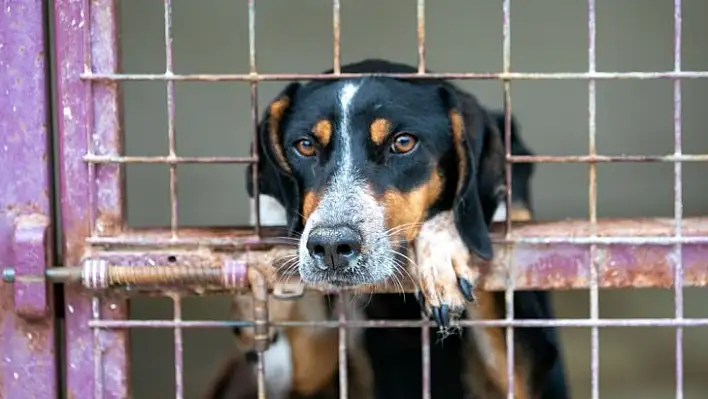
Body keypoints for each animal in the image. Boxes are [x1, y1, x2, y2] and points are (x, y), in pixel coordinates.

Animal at [246, 60, 568, 399]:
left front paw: (441, 257)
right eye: (305, 146)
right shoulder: (311, 369)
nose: (330, 247)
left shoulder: (531, 372)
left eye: (403, 143)